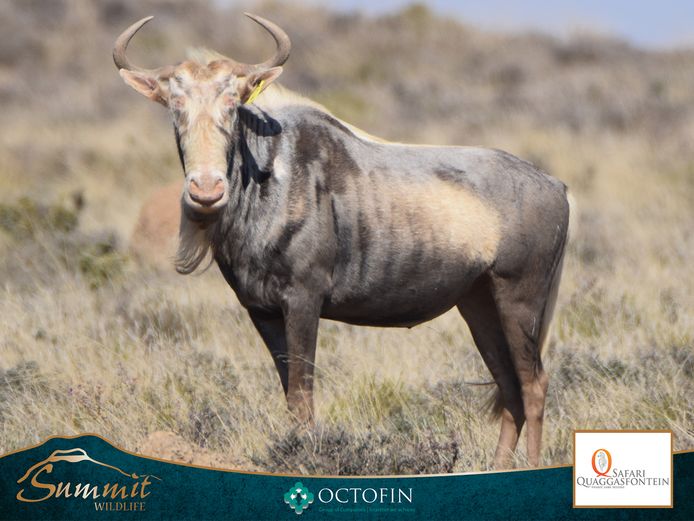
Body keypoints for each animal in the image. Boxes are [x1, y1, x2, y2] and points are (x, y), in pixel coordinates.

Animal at [114, 14, 570, 468]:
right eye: (175, 104)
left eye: (233, 102)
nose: (206, 190)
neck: (270, 174)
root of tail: (555, 185)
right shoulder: (261, 310)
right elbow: (290, 393)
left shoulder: (303, 301)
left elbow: (302, 394)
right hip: (479, 304)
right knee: (509, 385)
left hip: (519, 301)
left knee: (534, 384)